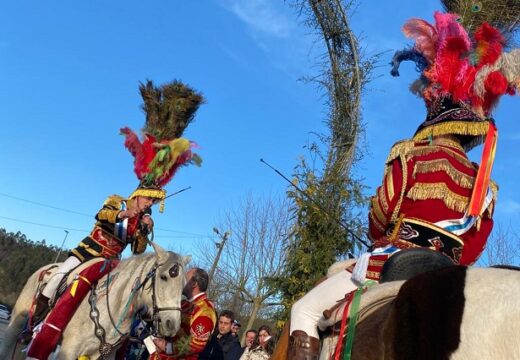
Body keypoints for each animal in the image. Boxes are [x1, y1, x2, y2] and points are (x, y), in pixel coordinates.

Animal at [0, 242, 191, 360]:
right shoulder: (68, 351)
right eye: (164, 277)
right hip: (16, 326)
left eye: (183, 285)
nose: (172, 325)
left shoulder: (104, 355)